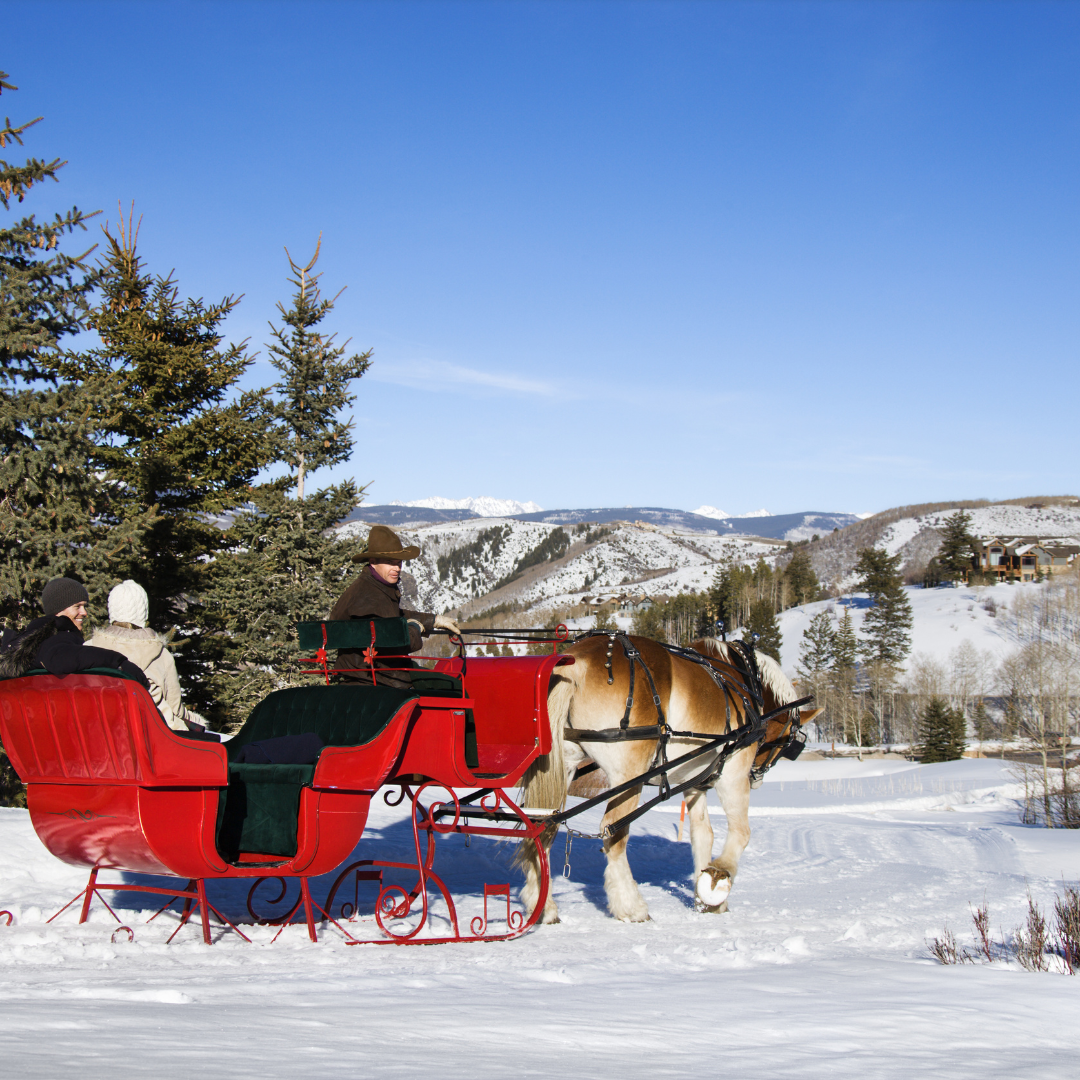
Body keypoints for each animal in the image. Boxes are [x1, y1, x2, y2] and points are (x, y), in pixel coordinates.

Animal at [518, 635, 820, 924]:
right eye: (788, 741)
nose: (757, 777)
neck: (744, 684)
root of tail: (577, 663)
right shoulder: (734, 772)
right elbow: (741, 832)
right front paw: (718, 876)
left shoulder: (696, 783)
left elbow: (703, 835)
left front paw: (707, 899)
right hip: (629, 775)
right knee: (612, 832)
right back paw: (631, 906)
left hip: (564, 766)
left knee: (544, 826)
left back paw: (543, 906)